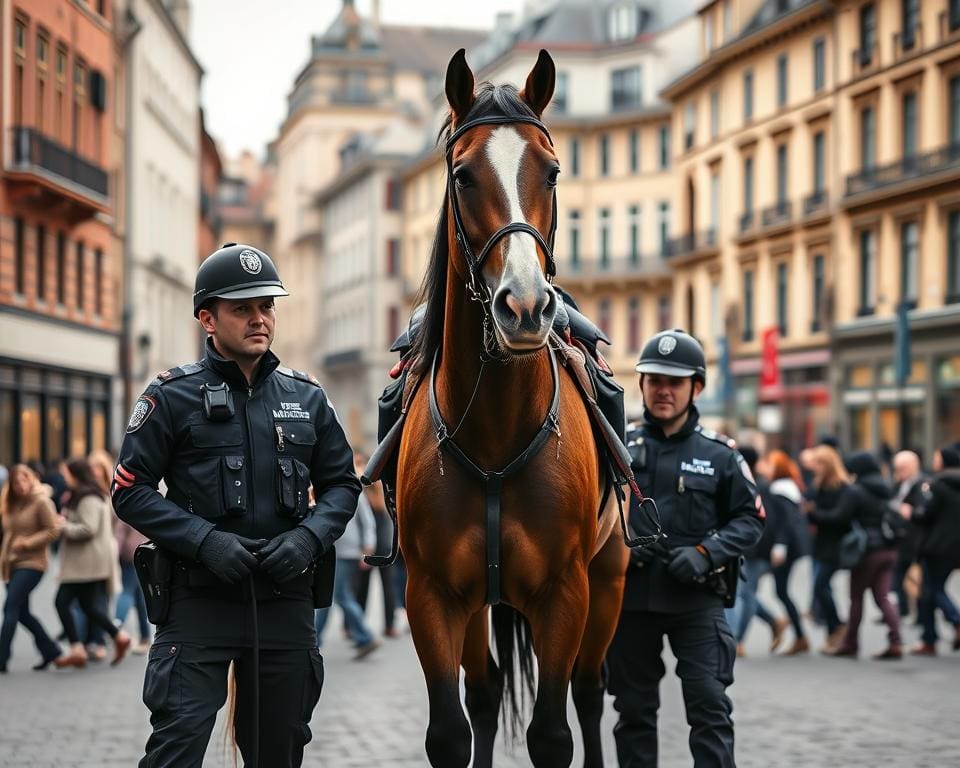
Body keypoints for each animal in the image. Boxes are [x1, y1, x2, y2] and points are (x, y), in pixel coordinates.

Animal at [396, 49, 632, 768]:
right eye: (464, 176)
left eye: (552, 171)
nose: (525, 306)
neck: (496, 430)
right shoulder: (432, 595)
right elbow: (451, 729)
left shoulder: (566, 593)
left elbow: (553, 732)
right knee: (487, 688)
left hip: (609, 579)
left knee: (590, 689)